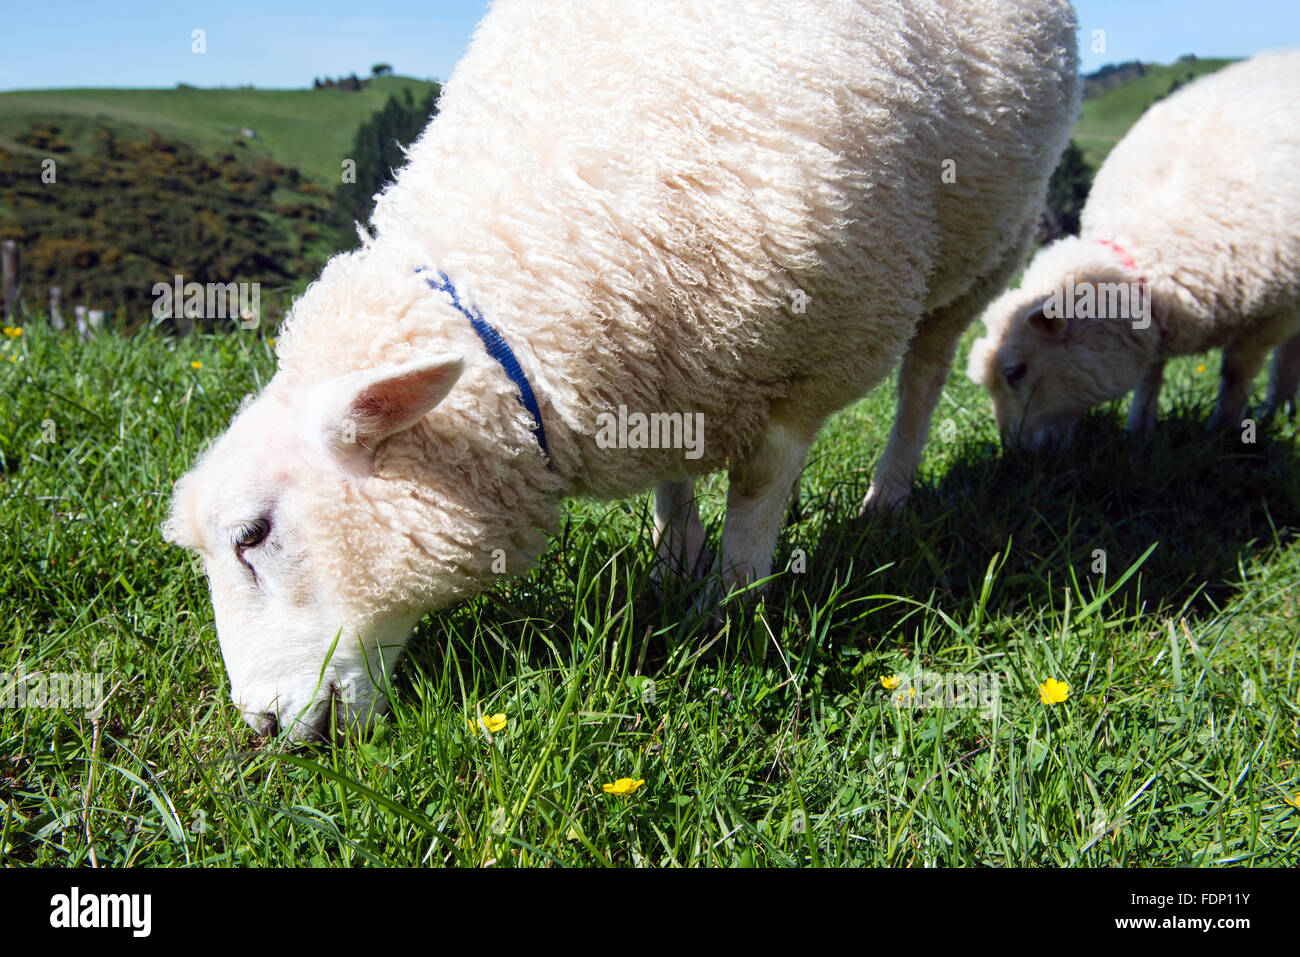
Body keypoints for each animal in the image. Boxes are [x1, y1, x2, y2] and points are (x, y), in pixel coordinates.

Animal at [164, 0, 1080, 740]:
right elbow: (673, 474)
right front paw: (675, 558)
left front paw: (730, 617)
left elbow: (758, 498)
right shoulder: (665, 349)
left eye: (253, 535)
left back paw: (889, 492)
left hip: (987, 244)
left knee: (923, 373)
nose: (260, 725)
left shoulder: (805, 364)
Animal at [968, 51, 1300, 450]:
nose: (1015, 454)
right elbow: (1150, 370)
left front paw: (1222, 429)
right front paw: (1140, 428)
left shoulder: (1273, 313)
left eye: (1015, 371)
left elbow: (1236, 370)